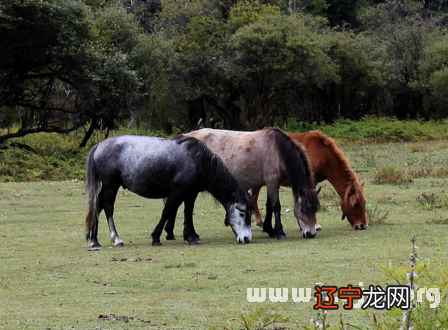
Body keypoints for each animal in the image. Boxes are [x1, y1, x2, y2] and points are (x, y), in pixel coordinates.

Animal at [84, 135, 252, 248]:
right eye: (242, 213)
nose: (246, 239)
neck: (198, 160)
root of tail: (99, 145)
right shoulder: (177, 191)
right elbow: (167, 211)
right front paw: (156, 237)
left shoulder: (191, 193)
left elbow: (188, 212)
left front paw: (191, 236)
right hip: (111, 185)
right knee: (108, 207)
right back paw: (116, 239)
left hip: (108, 187)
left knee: (97, 206)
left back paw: (94, 240)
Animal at [163, 127, 320, 238]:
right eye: (302, 209)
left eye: (315, 209)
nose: (311, 234)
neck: (277, 150)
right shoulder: (272, 182)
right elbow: (276, 206)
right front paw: (280, 232)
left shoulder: (270, 183)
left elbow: (269, 206)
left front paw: (270, 230)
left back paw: (170, 232)